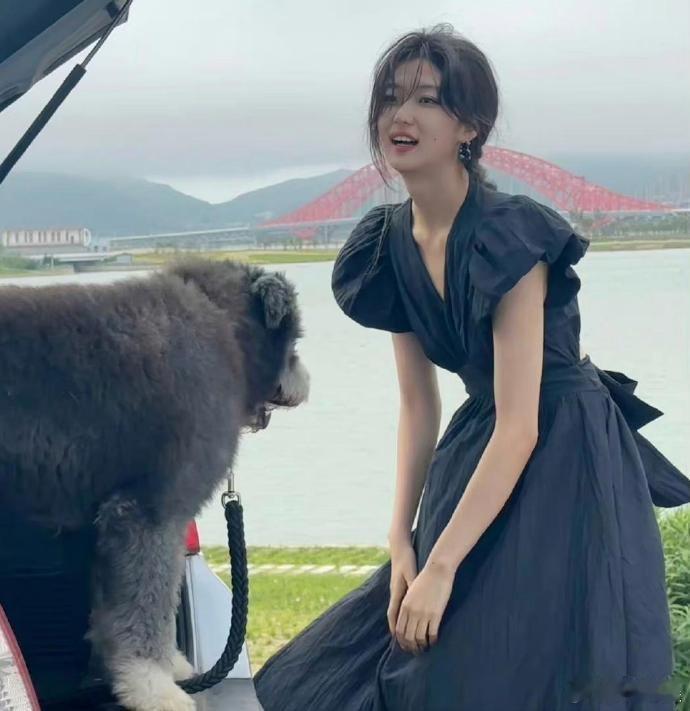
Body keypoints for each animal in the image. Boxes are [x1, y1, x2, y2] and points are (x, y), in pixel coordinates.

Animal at [0, 258, 309, 711]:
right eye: (295, 339)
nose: (307, 382)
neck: (221, 319)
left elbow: (114, 612)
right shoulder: (151, 512)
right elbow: (149, 603)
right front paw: (153, 686)